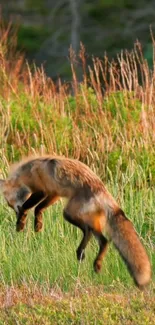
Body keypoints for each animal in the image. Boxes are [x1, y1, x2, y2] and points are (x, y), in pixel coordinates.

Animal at [0, 156, 151, 288]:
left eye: (9, 203)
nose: (16, 214)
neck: (26, 170)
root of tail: (101, 189)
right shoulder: (53, 193)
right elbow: (39, 208)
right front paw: (37, 224)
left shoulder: (41, 190)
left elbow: (28, 206)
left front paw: (21, 222)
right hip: (85, 216)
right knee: (96, 236)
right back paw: (88, 257)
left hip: (69, 213)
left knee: (95, 235)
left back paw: (91, 258)